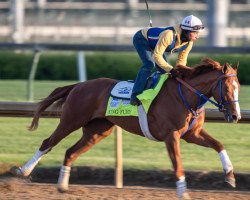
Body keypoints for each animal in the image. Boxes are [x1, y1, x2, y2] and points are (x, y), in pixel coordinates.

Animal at [11, 57, 240, 198]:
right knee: (48, 143)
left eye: (238, 87)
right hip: (71, 120)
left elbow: (219, 145)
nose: (236, 116)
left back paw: (62, 185)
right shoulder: (171, 135)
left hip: (97, 131)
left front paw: (230, 175)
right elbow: (178, 164)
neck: (187, 95)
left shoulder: (192, 134)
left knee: (70, 152)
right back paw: (23, 170)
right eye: (228, 88)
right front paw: (183, 192)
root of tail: (79, 85)